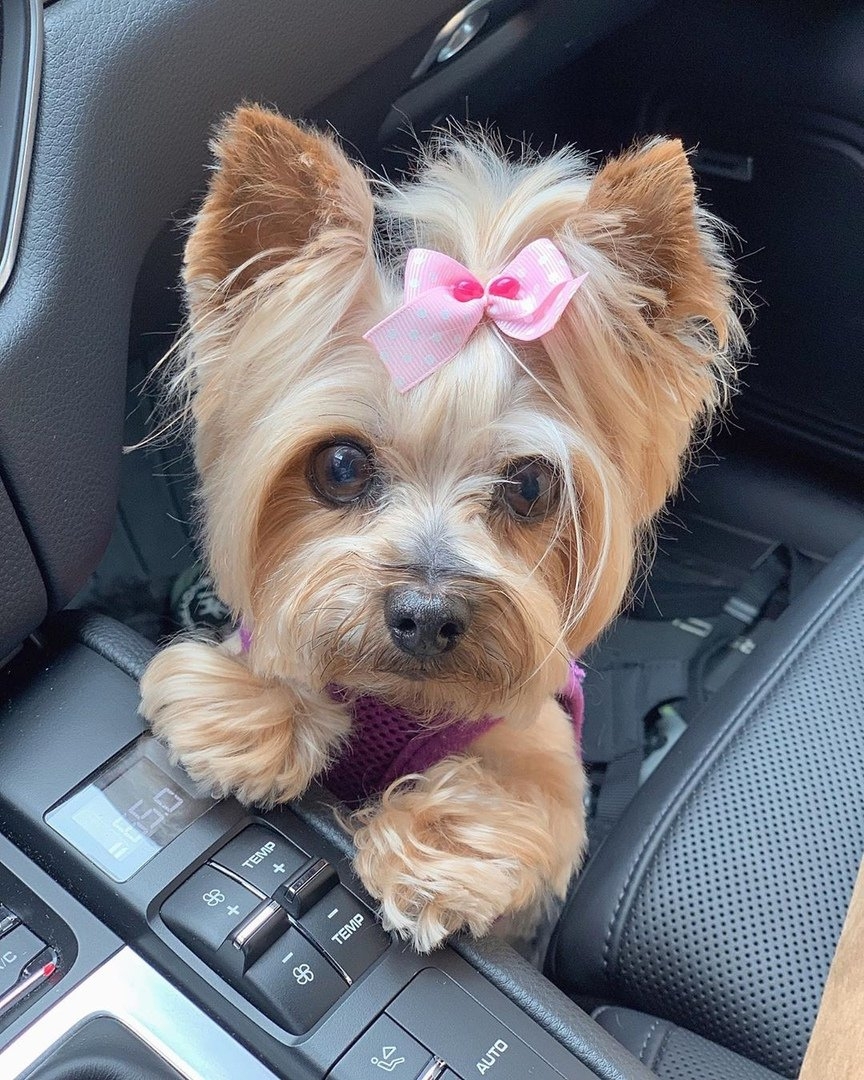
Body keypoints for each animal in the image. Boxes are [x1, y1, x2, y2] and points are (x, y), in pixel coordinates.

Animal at [136, 107, 743, 954]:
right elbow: (282, 637)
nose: (425, 615)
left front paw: (432, 854)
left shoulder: (543, 760)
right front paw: (250, 707)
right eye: (342, 466)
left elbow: (520, 806)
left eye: (531, 486)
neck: (399, 699)